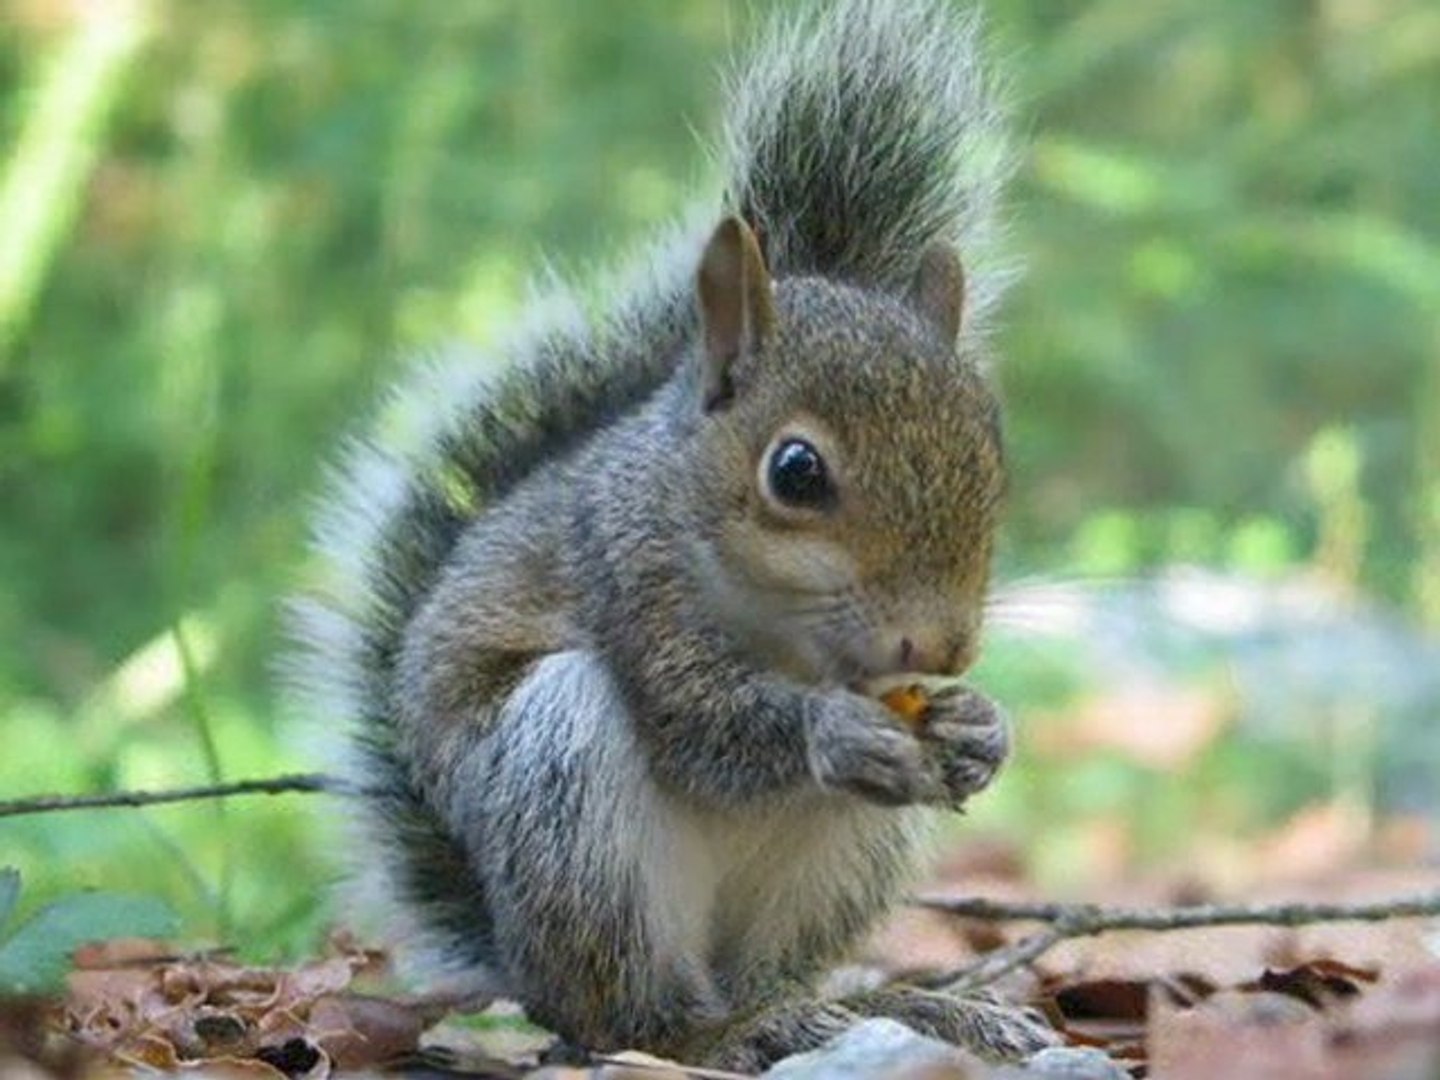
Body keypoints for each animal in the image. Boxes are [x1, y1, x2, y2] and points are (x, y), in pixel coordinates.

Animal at [290, 0, 1058, 1070]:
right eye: (795, 471)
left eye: (992, 448)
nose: (941, 647)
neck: (786, 632)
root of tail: (524, 968)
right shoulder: (628, 576)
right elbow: (700, 725)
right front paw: (829, 731)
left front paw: (981, 726)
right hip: (565, 790)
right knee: (638, 1018)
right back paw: (731, 1032)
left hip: (847, 857)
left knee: (774, 971)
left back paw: (885, 1011)